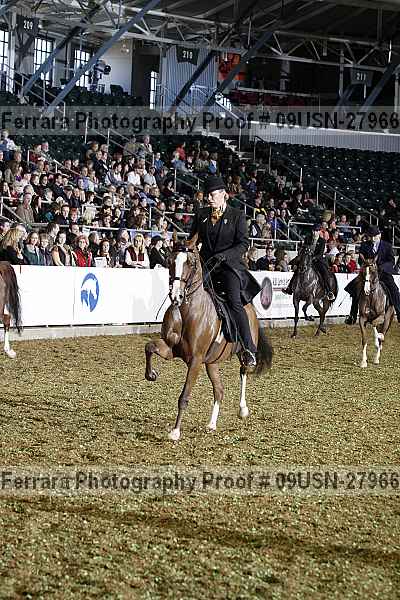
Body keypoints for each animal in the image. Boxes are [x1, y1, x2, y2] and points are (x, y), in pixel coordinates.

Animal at [144, 239, 273, 441]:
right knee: (219, 390)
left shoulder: (195, 360)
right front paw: (151, 374)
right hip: (212, 362)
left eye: (190, 263)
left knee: (243, 372)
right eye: (170, 260)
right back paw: (212, 424)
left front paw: (175, 431)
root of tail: (249, 307)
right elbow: (149, 347)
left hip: (241, 353)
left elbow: (184, 396)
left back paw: (242, 409)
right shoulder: (171, 349)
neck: (187, 311)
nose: (176, 296)